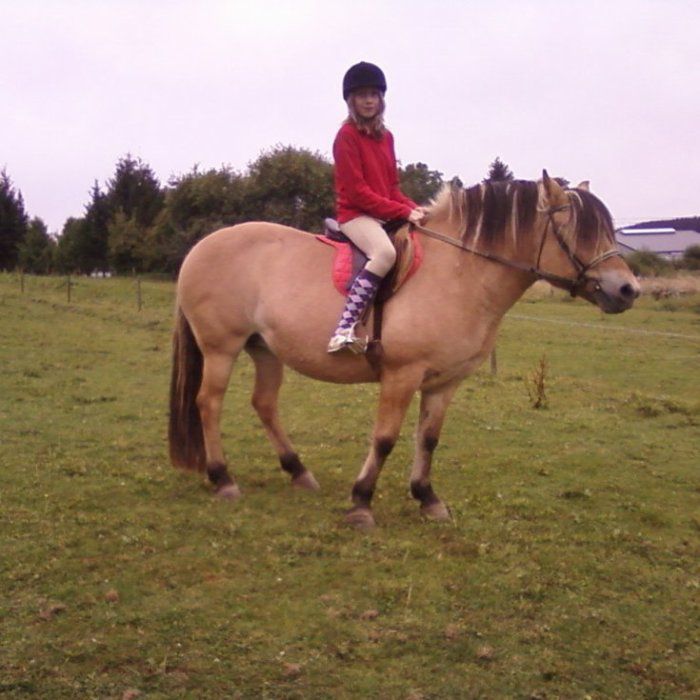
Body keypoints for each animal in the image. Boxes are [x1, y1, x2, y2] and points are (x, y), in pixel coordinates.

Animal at [168, 171, 639, 528]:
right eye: (578, 231)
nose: (629, 289)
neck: (459, 273)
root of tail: (200, 246)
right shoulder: (401, 375)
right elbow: (385, 438)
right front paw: (361, 502)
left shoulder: (444, 382)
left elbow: (427, 438)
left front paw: (427, 497)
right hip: (221, 348)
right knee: (209, 403)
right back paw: (223, 478)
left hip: (264, 349)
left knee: (264, 403)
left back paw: (298, 472)